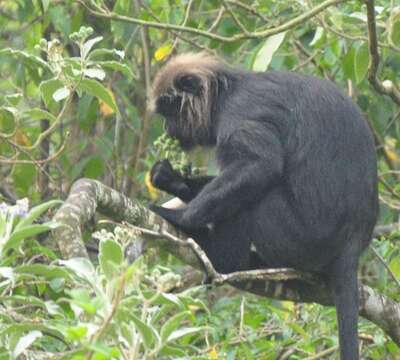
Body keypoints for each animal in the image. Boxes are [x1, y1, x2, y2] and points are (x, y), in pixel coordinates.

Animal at [148, 52, 376, 358]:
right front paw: (171, 180)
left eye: (170, 113)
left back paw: (222, 259)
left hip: (298, 237)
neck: (227, 92)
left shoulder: (240, 112)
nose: (166, 129)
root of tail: (353, 243)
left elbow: (261, 165)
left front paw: (182, 219)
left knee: (255, 199)